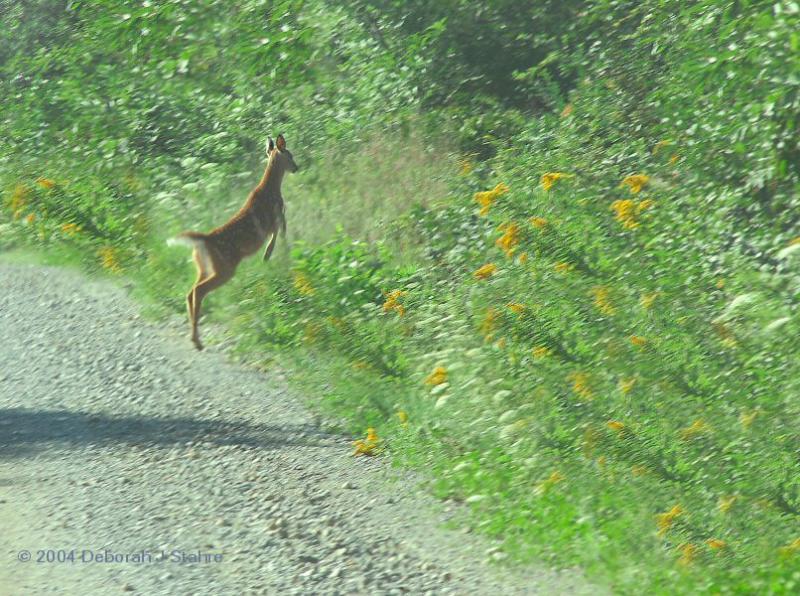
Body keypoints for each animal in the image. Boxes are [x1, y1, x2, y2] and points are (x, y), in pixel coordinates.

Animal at [167, 134, 298, 350]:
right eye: (290, 155)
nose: (297, 167)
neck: (270, 187)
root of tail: (203, 240)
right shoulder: (277, 218)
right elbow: (278, 237)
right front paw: (270, 255)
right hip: (224, 268)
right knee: (198, 291)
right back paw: (197, 341)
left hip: (204, 267)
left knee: (190, 292)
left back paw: (194, 337)